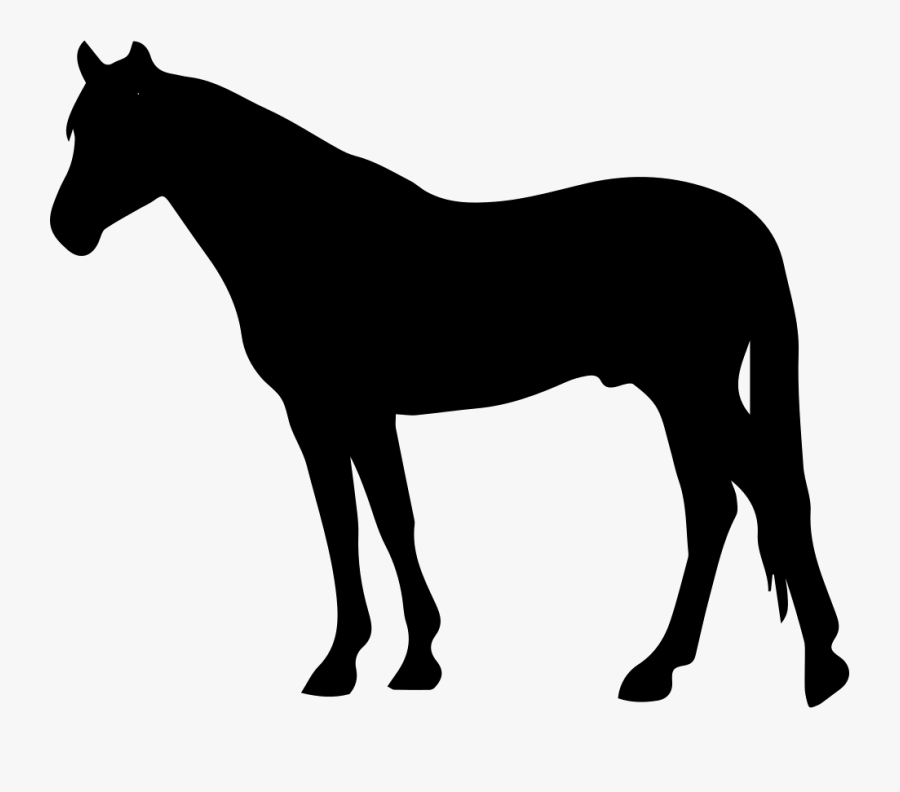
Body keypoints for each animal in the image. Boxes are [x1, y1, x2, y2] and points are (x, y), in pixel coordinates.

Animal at [51, 42, 849, 706]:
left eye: (126, 126)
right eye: (74, 130)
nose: (66, 229)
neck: (307, 230)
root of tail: (745, 226)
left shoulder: (346, 408)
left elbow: (373, 521)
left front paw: (383, 663)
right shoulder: (334, 412)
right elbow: (361, 522)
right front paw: (376, 661)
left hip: (692, 389)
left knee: (762, 492)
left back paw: (811, 667)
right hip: (683, 396)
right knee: (720, 506)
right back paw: (674, 667)